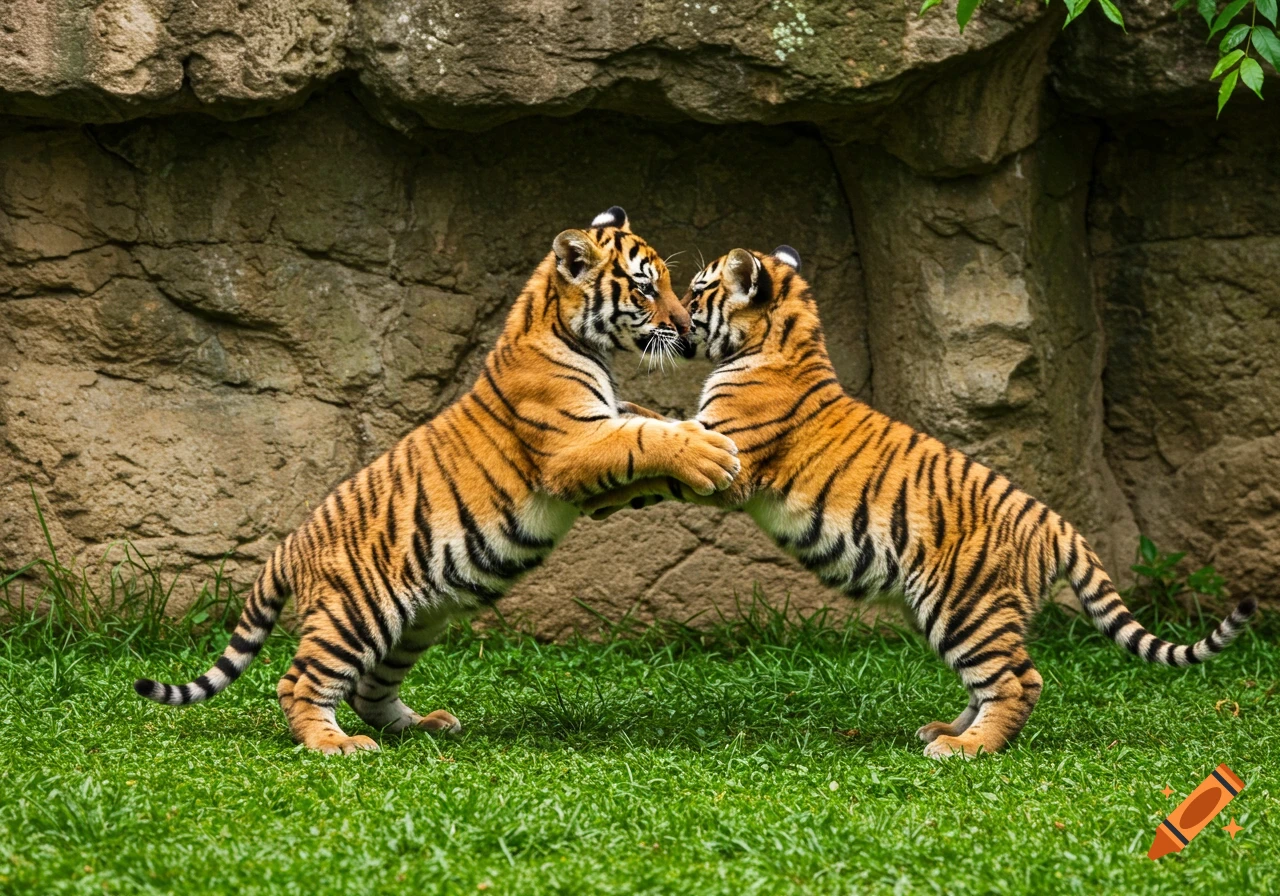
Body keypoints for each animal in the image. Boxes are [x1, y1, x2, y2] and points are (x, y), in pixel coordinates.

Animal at [133, 208, 740, 754]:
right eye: (644, 288)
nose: (686, 329)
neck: (568, 334)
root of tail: (289, 546)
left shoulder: (597, 441)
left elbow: (649, 424)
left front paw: (708, 447)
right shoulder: (571, 446)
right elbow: (642, 436)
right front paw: (709, 454)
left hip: (415, 624)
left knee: (370, 690)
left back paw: (423, 725)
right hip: (354, 615)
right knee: (300, 682)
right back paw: (335, 744)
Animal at [582, 245, 1258, 759]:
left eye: (699, 290)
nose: (678, 319)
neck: (785, 342)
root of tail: (1057, 523)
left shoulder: (731, 460)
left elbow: (664, 454)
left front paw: (607, 484)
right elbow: (654, 427)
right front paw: (617, 423)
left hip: (963, 606)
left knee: (1019, 681)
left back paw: (965, 749)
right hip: (963, 612)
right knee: (994, 682)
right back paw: (945, 730)